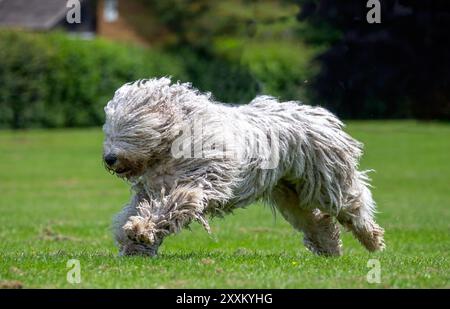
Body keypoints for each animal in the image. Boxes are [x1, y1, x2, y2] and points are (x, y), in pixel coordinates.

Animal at [103, 77, 384, 255]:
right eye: (109, 130)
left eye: (130, 130)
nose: (109, 158)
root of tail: (322, 118)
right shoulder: (150, 189)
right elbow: (137, 209)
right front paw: (135, 244)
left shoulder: (201, 180)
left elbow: (174, 204)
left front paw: (141, 228)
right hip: (289, 191)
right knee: (315, 220)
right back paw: (330, 247)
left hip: (326, 182)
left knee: (352, 204)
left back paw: (371, 238)